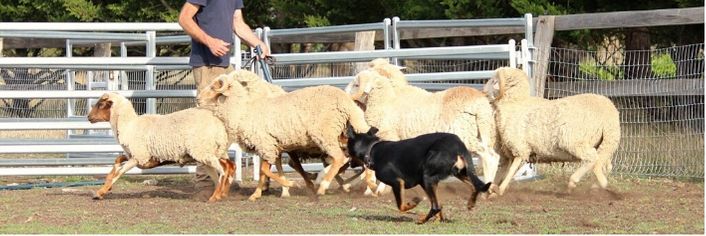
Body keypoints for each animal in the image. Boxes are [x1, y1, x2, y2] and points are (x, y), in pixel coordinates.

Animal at [88, 91, 234, 201]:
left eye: (101, 104)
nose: (89, 117)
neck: (129, 125)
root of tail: (218, 123)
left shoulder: (139, 156)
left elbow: (118, 173)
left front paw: (100, 193)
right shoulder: (134, 156)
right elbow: (117, 161)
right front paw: (105, 188)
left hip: (203, 150)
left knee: (223, 170)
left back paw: (215, 197)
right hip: (214, 151)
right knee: (230, 166)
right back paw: (223, 193)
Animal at [198, 71, 376, 200]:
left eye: (214, 88)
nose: (198, 99)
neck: (243, 111)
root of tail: (346, 101)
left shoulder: (266, 145)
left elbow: (265, 171)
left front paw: (291, 184)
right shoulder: (272, 147)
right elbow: (267, 171)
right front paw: (257, 194)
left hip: (325, 134)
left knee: (340, 158)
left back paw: (323, 186)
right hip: (341, 134)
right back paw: (370, 186)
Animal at [344, 125, 486, 223]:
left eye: (346, 147)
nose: (345, 158)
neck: (371, 149)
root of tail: (458, 145)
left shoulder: (397, 182)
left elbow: (401, 206)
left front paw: (413, 203)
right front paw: (439, 219)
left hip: (427, 177)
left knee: (435, 206)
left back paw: (422, 220)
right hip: (457, 172)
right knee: (473, 186)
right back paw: (468, 204)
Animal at [482, 67, 620, 195]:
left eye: (493, 81)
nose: (483, 92)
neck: (514, 103)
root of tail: (609, 114)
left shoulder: (520, 147)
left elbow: (511, 170)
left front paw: (499, 189)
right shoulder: (512, 152)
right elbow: (502, 171)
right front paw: (491, 188)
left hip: (573, 141)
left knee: (592, 158)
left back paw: (574, 182)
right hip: (607, 143)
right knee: (603, 165)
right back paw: (598, 185)